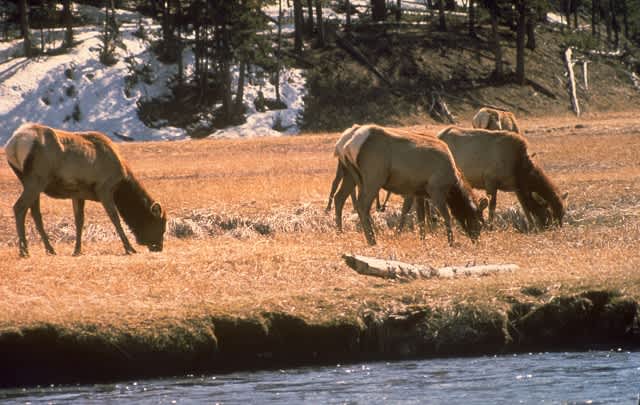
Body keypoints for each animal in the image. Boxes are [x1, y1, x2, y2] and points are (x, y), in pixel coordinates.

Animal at [3, 121, 168, 258]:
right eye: (160, 224)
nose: (158, 247)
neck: (122, 184)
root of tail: (14, 144)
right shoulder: (104, 188)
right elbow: (115, 218)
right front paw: (129, 248)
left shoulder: (78, 193)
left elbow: (79, 220)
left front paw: (77, 250)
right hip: (36, 179)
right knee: (19, 207)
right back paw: (24, 251)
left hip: (30, 182)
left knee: (35, 213)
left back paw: (50, 249)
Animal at [330, 124, 484, 245]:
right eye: (479, 222)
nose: (476, 240)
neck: (453, 184)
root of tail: (345, 144)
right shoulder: (436, 189)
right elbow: (447, 216)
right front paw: (451, 242)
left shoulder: (419, 192)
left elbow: (421, 218)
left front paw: (423, 240)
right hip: (374, 176)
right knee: (362, 205)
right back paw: (372, 240)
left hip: (349, 174)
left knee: (339, 198)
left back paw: (340, 232)